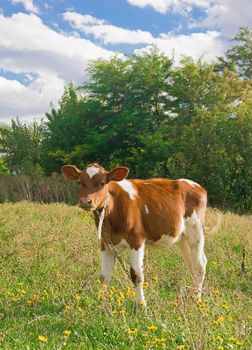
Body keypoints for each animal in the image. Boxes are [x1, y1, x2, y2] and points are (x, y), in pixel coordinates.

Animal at [62, 164, 208, 306]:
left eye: (102, 183)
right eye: (80, 182)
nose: (85, 201)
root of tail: (195, 185)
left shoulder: (137, 240)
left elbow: (136, 274)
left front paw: (141, 305)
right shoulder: (106, 243)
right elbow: (104, 275)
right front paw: (100, 305)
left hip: (196, 231)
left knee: (199, 266)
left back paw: (196, 300)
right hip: (182, 239)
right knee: (193, 266)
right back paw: (191, 297)